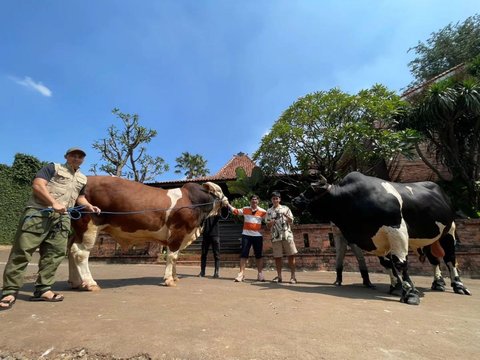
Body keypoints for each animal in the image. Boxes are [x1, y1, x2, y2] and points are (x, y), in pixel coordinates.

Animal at [68, 176, 231, 288]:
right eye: (219, 190)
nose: (228, 201)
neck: (193, 202)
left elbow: (176, 257)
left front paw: (175, 276)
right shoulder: (178, 232)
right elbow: (172, 257)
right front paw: (169, 280)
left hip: (77, 230)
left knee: (71, 251)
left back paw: (75, 282)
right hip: (89, 226)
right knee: (81, 253)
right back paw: (90, 283)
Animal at [290, 171, 470, 304]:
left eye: (311, 190)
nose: (295, 200)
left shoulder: (397, 230)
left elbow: (400, 263)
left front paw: (410, 293)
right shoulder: (375, 240)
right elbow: (387, 264)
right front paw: (396, 287)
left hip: (449, 231)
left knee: (450, 258)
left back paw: (459, 286)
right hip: (428, 237)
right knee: (434, 260)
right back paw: (438, 283)